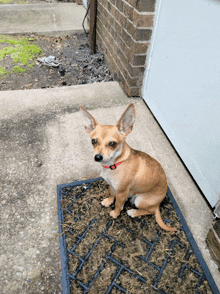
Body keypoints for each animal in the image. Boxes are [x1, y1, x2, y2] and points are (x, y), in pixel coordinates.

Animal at [81, 104, 177, 232]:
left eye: (112, 144)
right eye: (93, 141)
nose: (97, 157)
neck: (115, 164)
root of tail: (157, 205)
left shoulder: (122, 191)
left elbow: (117, 204)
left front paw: (115, 213)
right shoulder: (112, 185)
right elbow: (112, 193)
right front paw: (108, 201)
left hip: (140, 200)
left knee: (150, 211)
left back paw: (133, 212)